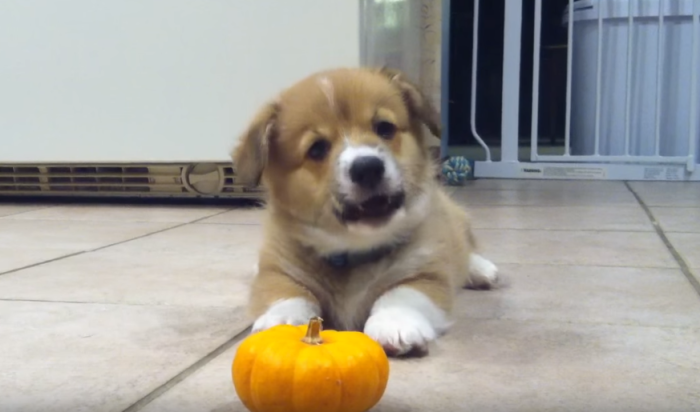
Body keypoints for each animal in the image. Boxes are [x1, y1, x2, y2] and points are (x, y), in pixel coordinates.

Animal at [232, 67, 494, 358]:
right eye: (317, 148)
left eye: (384, 128)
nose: (368, 168)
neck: (354, 250)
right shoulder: (278, 272)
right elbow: (287, 294)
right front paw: (282, 322)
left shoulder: (427, 273)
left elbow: (401, 294)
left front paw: (395, 323)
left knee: (465, 247)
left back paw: (480, 270)